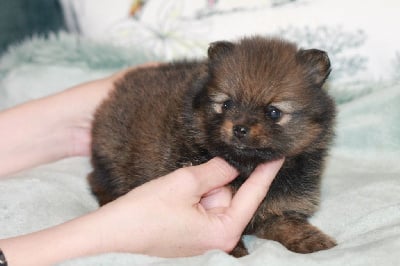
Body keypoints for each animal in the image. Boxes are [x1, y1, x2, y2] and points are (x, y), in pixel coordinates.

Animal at [89, 36, 336, 256]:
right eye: (226, 104)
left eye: (273, 112)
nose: (240, 128)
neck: (246, 167)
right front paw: (236, 252)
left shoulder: (277, 208)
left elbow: (288, 224)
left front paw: (312, 239)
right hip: (112, 155)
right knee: (96, 179)